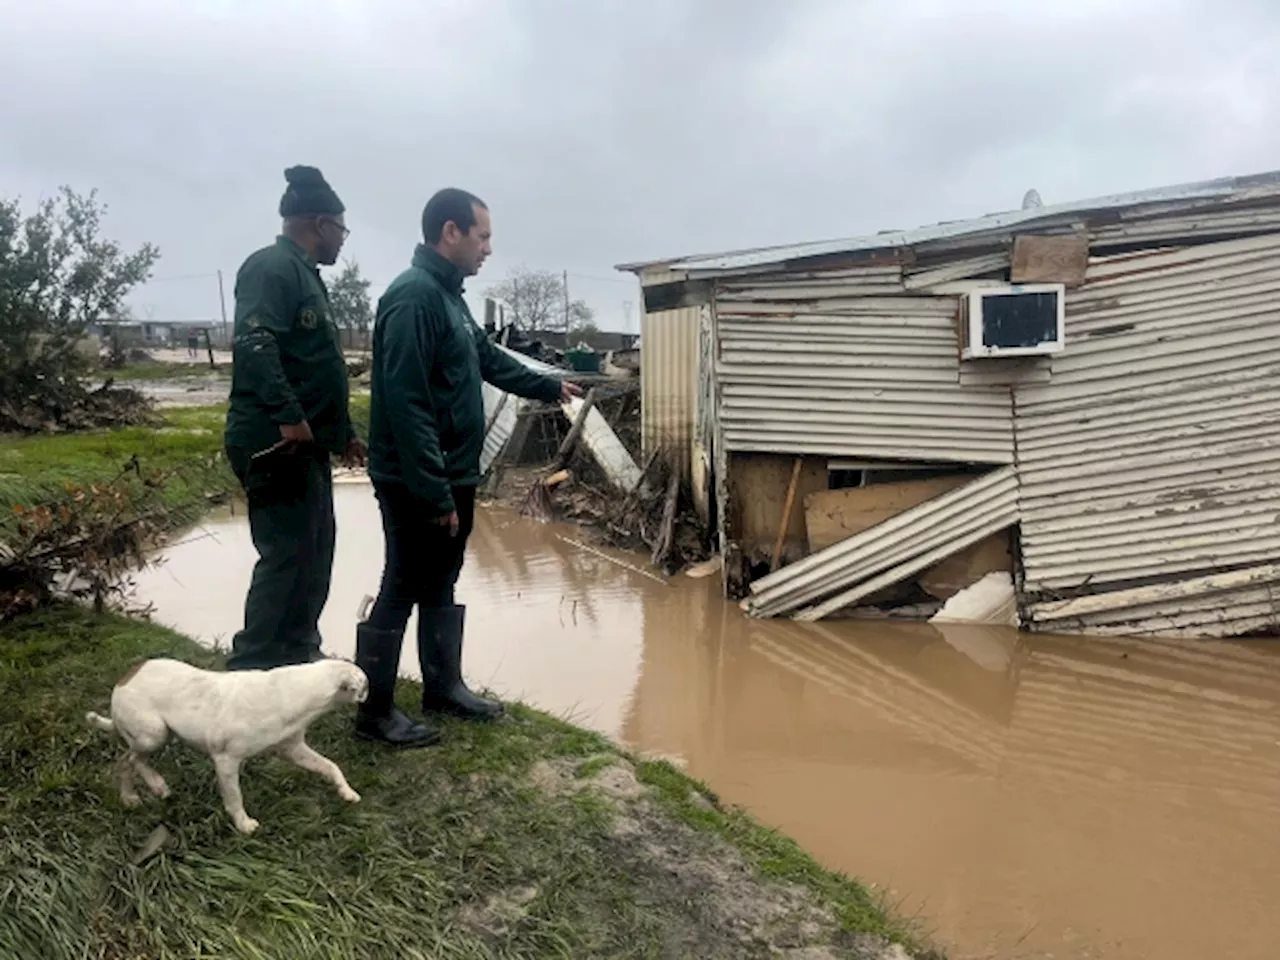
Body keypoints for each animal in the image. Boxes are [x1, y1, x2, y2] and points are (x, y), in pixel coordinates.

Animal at [85, 660, 371, 834]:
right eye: (366, 686)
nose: (370, 696)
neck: (299, 691)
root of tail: (126, 677)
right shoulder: (226, 760)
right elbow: (235, 797)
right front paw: (243, 824)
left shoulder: (293, 749)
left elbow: (331, 767)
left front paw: (347, 792)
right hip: (154, 734)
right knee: (132, 760)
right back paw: (157, 785)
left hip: (155, 737)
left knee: (126, 762)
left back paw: (129, 797)